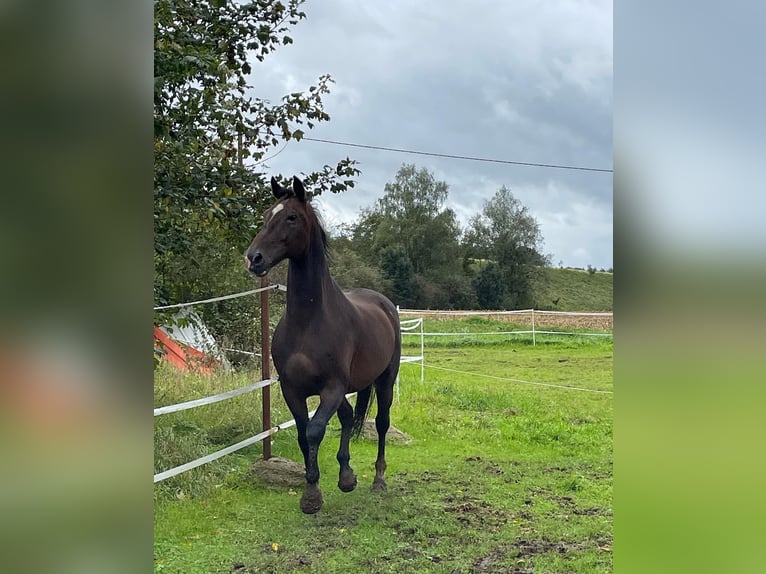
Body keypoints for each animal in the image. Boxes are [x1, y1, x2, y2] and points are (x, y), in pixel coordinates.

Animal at [244, 177, 402, 516]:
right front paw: (317, 487)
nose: (254, 258)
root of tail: (383, 303)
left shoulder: (331, 387)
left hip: (385, 380)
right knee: (347, 416)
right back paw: (347, 476)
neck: (308, 322)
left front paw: (312, 496)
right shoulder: (292, 389)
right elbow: (305, 435)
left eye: (291, 217)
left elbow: (315, 430)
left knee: (382, 423)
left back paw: (378, 479)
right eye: (265, 215)